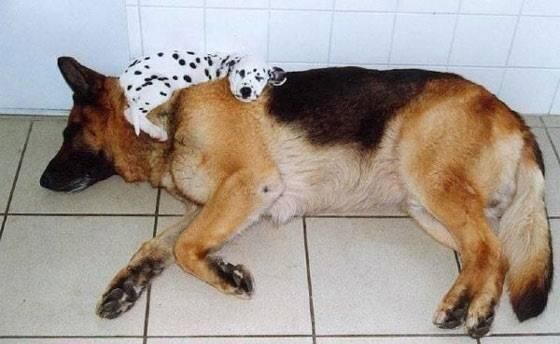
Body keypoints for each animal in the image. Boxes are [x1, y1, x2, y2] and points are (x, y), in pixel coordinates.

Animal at [117, 50, 284, 141]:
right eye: (240, 72)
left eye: (259, 77)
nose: (246, 90)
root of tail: (124, 77)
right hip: (161, 87)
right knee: (130, 113)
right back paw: (156, 132)